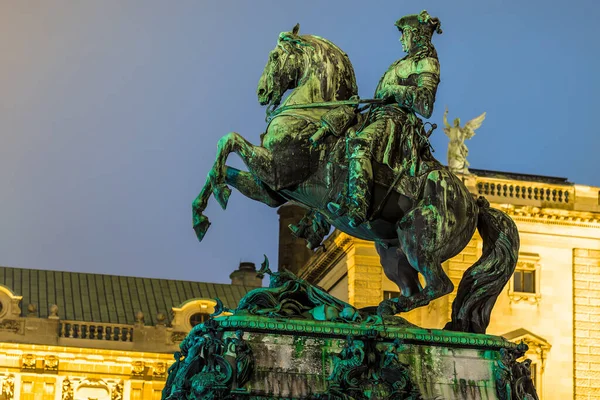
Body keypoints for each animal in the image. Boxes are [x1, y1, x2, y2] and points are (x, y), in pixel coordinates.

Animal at [193, 23, 520, 332]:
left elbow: (229, 140)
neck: (312, 115)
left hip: (418, 238)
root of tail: (474, 202)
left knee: (441, 284)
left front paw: (209, 204)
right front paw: (202, 210)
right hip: (391, 252)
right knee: (413, 287)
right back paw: (367, 313)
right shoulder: (269, 191)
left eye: (274, 56)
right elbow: (224, 156)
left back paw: (373, 310)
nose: (261, 93)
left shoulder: (275, 170)